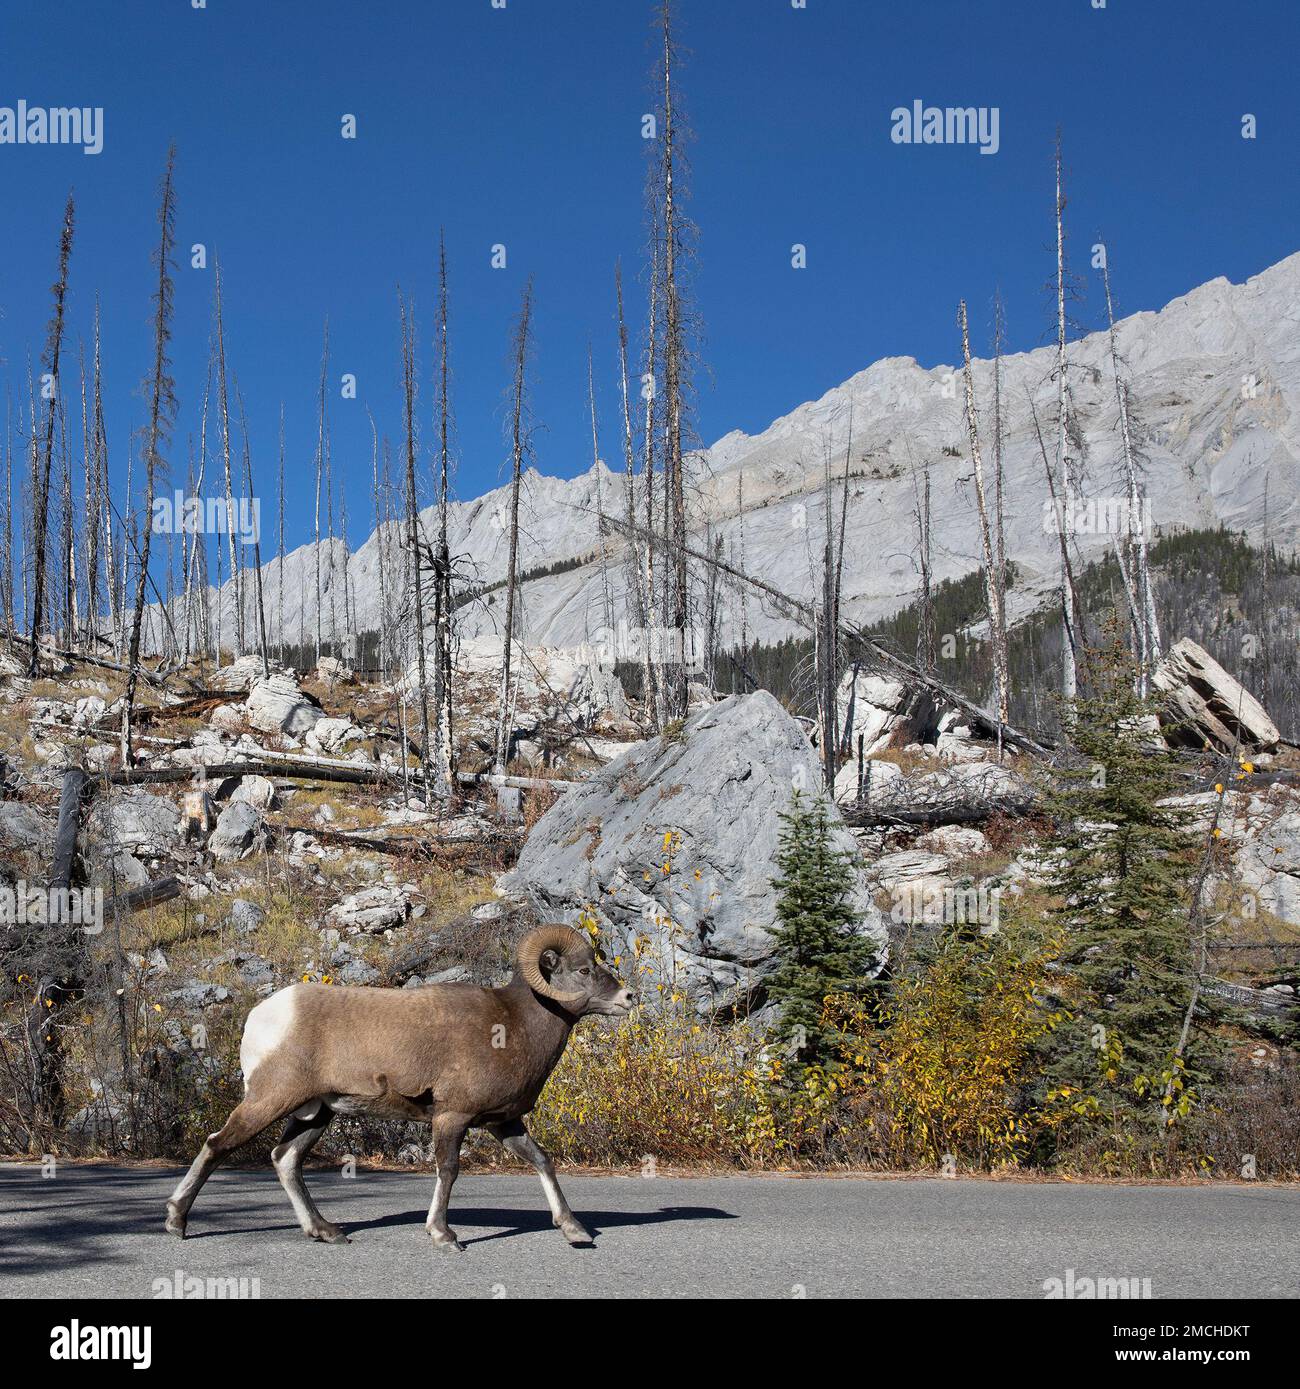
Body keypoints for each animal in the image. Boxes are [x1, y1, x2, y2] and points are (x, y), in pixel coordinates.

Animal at [165, 927, 633, 1255]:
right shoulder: (453, 1117)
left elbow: (542, 1162)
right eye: (584, 970)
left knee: (285, 1160)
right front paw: (444, 1236)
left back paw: (326, 1232)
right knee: (218, 1145)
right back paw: (176, 1223)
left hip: (316, 1113)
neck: (514, 1026)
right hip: (271, 1100)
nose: (629, 997)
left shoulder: (504, 1123)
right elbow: (448, 1170)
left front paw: (575, 1231)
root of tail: (261, 1016)